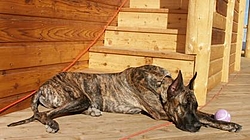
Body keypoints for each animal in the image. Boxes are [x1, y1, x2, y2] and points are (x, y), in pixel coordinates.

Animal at [8, 65, 242, 133]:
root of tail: (43, 85)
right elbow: (203, 118)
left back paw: (93, 110)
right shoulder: (161, 112)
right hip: (78, 96)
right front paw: (225, 124)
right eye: (183, 105)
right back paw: (52, 124)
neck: (160, 85)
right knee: (45, 114)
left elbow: (204, 114)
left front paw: (219, 119)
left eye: (193, 105)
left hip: (82, 99)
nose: (196, 128)